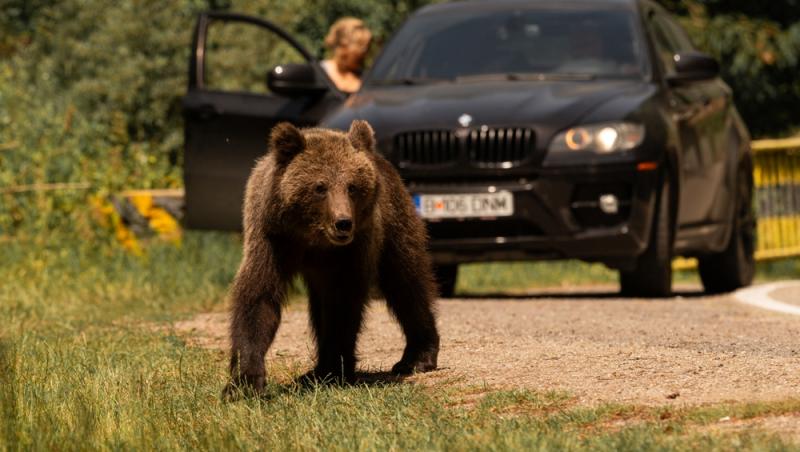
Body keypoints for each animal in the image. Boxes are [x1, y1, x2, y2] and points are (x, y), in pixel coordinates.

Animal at [223, 120, 438, 396]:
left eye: (352, 186)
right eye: (320, 186)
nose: (343, 222)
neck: (313, 237)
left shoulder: (350, 250)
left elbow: (342, 304)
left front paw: (335, 370)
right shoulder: (272, 238)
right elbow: (258, 297)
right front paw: (245, 382)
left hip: (394, 220)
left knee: (406, 282)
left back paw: (417, 357)